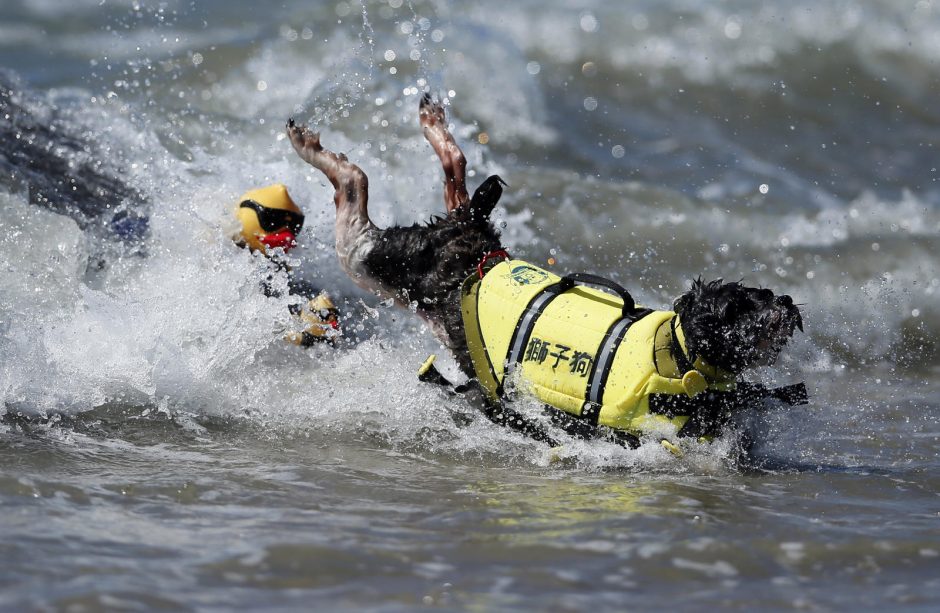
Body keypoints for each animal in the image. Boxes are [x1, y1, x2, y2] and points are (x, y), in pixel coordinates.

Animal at [288, 97, 808, 450]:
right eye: (737, 309)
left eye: (762, 293)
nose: (785, 304)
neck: (678, 357)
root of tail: (480, 250)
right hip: (375, 262)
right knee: (355, 193)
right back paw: (311, 145)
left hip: (431, 260)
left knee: (456, 181)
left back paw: (433, 123)